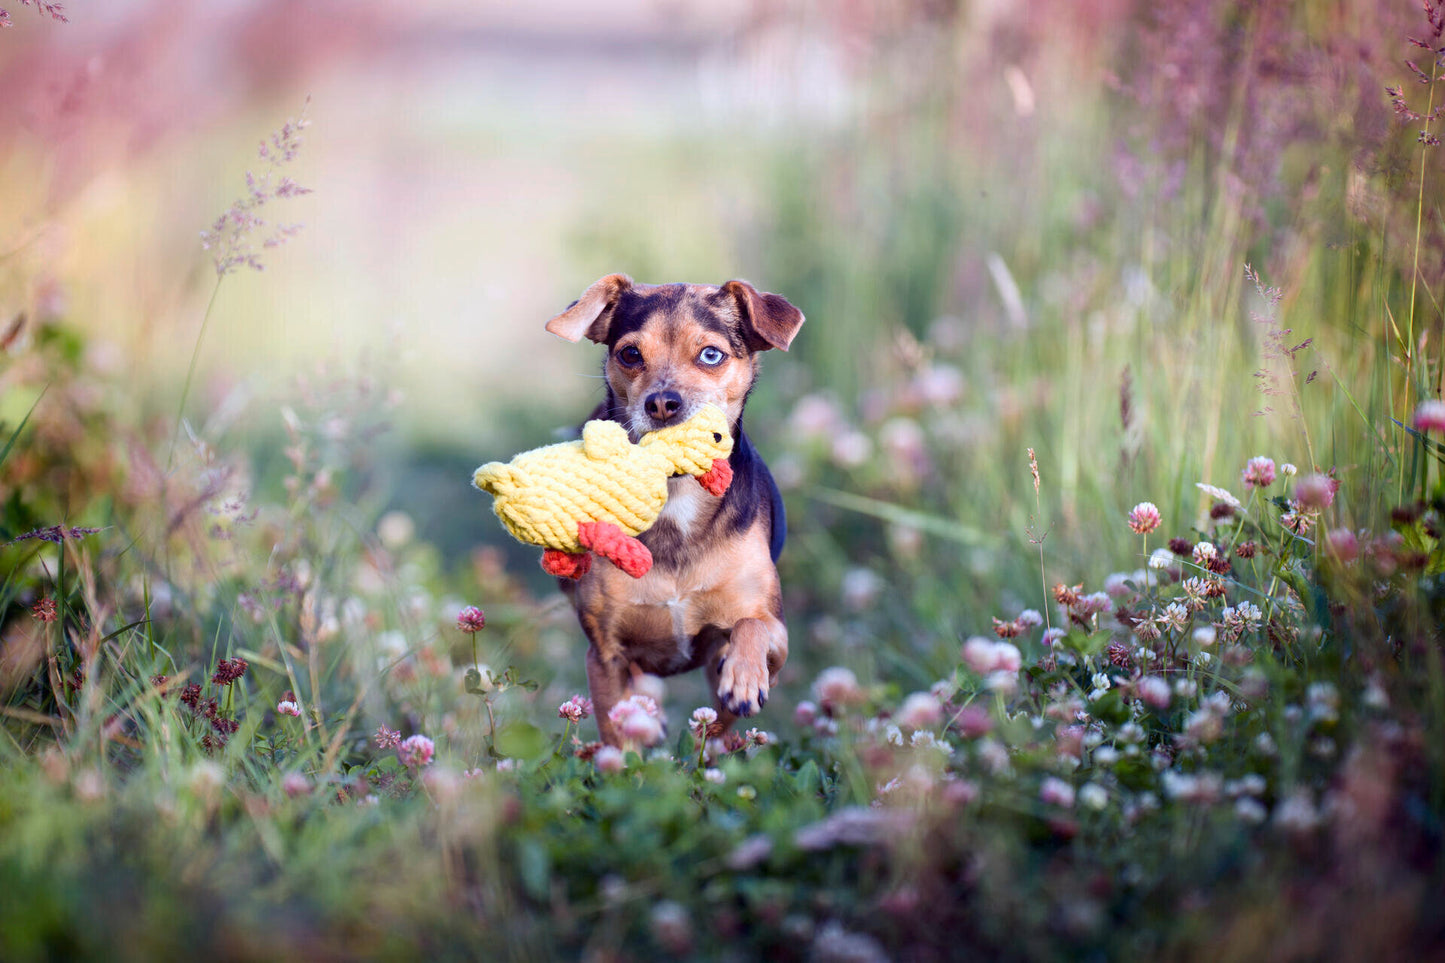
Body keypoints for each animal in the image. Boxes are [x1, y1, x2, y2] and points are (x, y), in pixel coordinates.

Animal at [543, 270, 809, 740]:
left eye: (711, 355)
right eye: (630, 354)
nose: (663, 402)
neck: (676, 493)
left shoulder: (774, 634)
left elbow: (751, 625)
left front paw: (744, 678)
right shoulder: (605, 656)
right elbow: (616, 736)